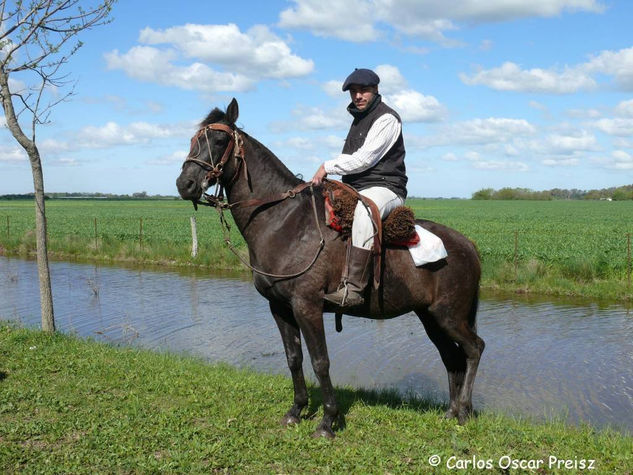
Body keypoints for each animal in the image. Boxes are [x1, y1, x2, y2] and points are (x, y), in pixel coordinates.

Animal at [175, 99, 482, 438]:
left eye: (219, 140)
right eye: (193, 139)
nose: (185, 184)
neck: (284, 221)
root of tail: (468, 245)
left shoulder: (306, 306)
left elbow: (320, 361)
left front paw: (327, 422)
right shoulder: (280, 307)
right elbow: (294, 357)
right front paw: (296, 411)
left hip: (449, 316)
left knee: (473, 350)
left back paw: (464, 411)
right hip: (431, 318)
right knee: (452, 357)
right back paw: (451, 412)